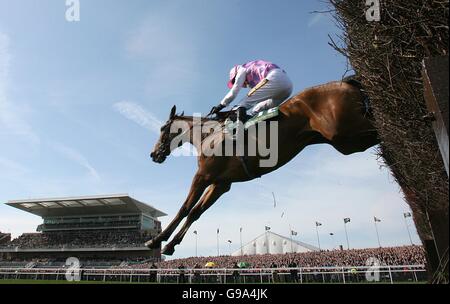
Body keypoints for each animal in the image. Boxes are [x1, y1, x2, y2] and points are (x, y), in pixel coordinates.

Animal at [146, 78, 378, 254]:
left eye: (162, 128)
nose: (154, 154)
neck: (208, 135)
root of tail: (346, 82)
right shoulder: (220, 183)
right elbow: (195, 213)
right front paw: (170, 245)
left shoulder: (203, 175)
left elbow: (184, 208)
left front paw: (157, 239)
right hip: (346, 141)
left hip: (345, 132)